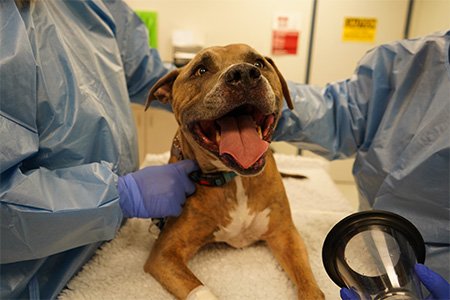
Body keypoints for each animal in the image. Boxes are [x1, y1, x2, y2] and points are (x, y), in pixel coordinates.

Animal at [144, 43, 324, 298]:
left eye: (259, 63)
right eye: (200, 70)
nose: (244, 74)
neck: (235, 178)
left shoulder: (285, 234)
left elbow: (309, 283)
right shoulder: (165, 253)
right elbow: (200, 291)